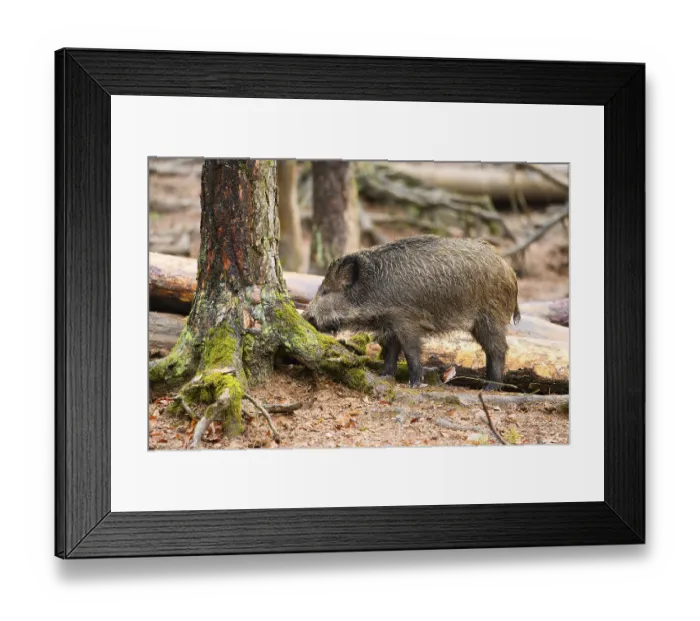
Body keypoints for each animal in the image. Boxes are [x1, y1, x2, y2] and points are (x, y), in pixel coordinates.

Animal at [302, 234, 521, 389]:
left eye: (325, 291)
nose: (305, 316)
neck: (371, 289)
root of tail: (510, 270)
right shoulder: (389, 323)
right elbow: (391, 350)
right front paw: (384, 376)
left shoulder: (405, 320)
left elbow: (410, 351)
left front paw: (414, 384)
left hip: (490, 318)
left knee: (498, 349)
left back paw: (490, 388)